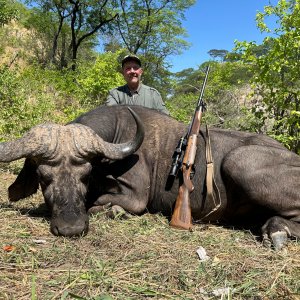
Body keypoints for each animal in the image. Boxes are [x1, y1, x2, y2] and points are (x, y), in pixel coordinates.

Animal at [0, 105, 298, 248]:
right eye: (42, 177)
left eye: (85, 174)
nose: (71, 227)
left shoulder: (135, 197)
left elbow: (105, 205)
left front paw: (112, 210)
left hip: (239, 161)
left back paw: (277, 230)